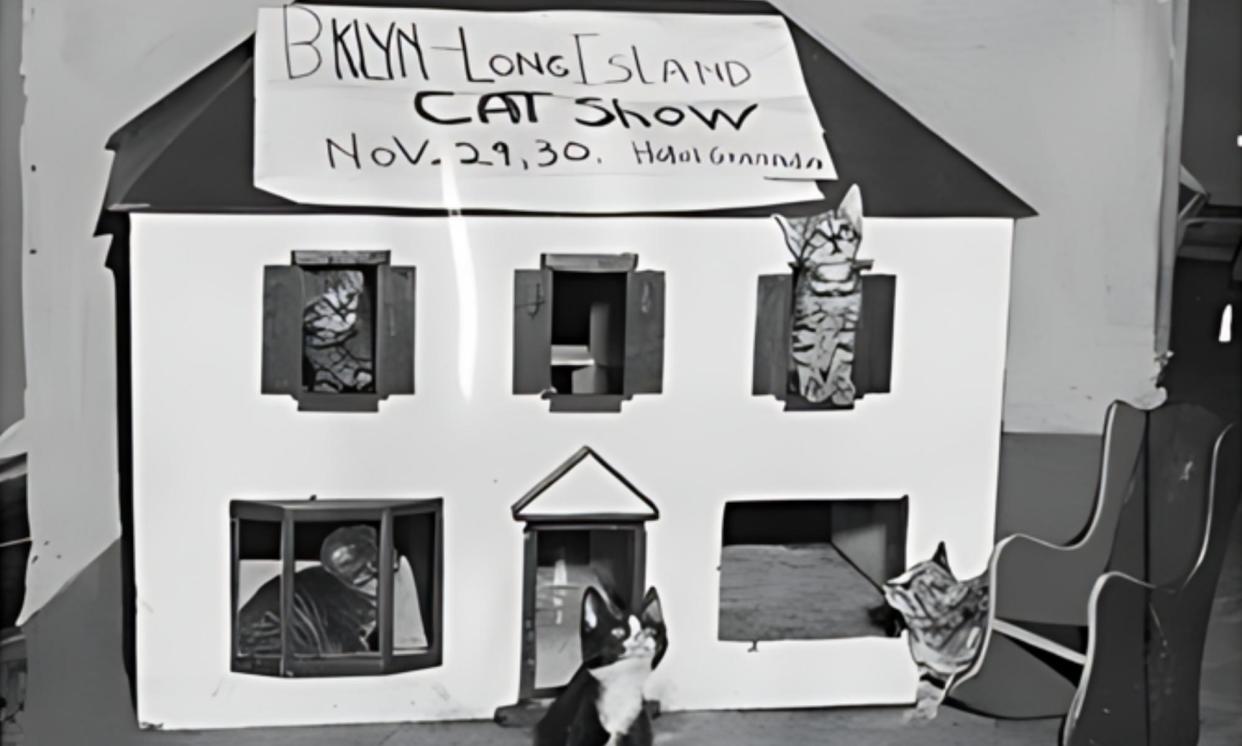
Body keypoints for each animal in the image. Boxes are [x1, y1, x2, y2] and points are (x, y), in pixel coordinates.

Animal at [775, 184, 864, 407]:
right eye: (819, 236)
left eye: (845, 230)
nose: (834, 238)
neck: (834, 287)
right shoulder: (803, 325)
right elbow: (806, 356)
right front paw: (813, 384)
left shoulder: (848, 326)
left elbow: (842, 358)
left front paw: (841, 384)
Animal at [884, 541, 988, 719]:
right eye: (905, 574)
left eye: (907, 586)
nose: (887, 583)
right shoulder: (934, 670)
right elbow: (929, 689)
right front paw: (921, 711)